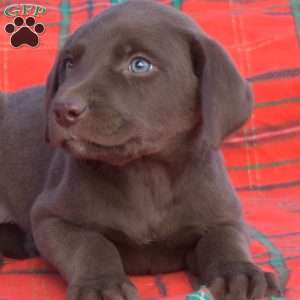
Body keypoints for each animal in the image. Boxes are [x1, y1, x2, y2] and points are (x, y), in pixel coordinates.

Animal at [0, 0, 282, 300]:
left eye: (140, 64)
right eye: (69, 64)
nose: (62, 110)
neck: (147, 172)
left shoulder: (225, 214)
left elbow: (224, 238)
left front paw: (239, 273)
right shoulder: (50, 216)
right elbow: (91, 243)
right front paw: (100, 284)